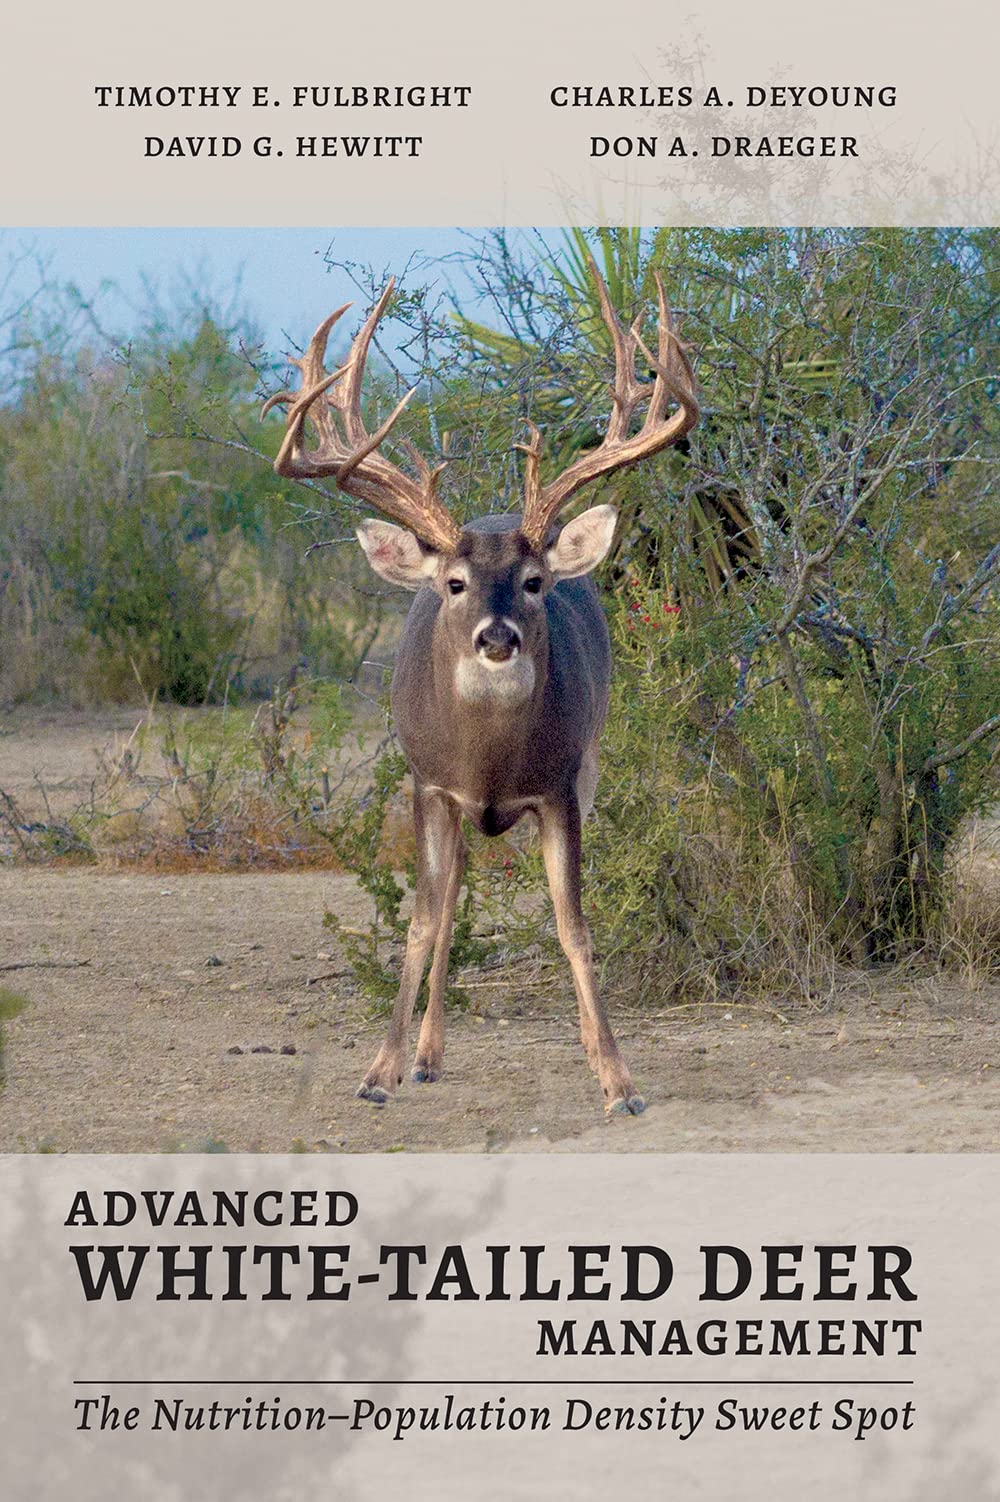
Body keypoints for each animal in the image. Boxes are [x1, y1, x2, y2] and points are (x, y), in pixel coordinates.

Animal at [263, 258, 698, 1117]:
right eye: (455, 583)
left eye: (533, 582)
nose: (498, 638)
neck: (491, 763)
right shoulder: (430, 784)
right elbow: (423, 922)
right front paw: (378, 1073)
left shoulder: (562, 788)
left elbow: (574, 927)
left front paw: (617, 1079)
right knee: (452, 890)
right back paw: (426, 1056)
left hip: (590, 764)